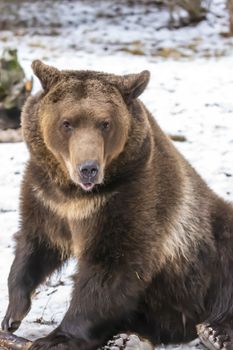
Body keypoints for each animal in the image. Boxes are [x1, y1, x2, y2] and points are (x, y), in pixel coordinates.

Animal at [1, 60, 233, 350]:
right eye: (66, 123)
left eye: (105, 123)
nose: (88, 168)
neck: (76, 195)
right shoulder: (46, 197)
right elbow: (34, 243)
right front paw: (13, 313)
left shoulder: (129, 198)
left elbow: (111, 268)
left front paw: (54, 338)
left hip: (208, 254)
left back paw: (214, 332)